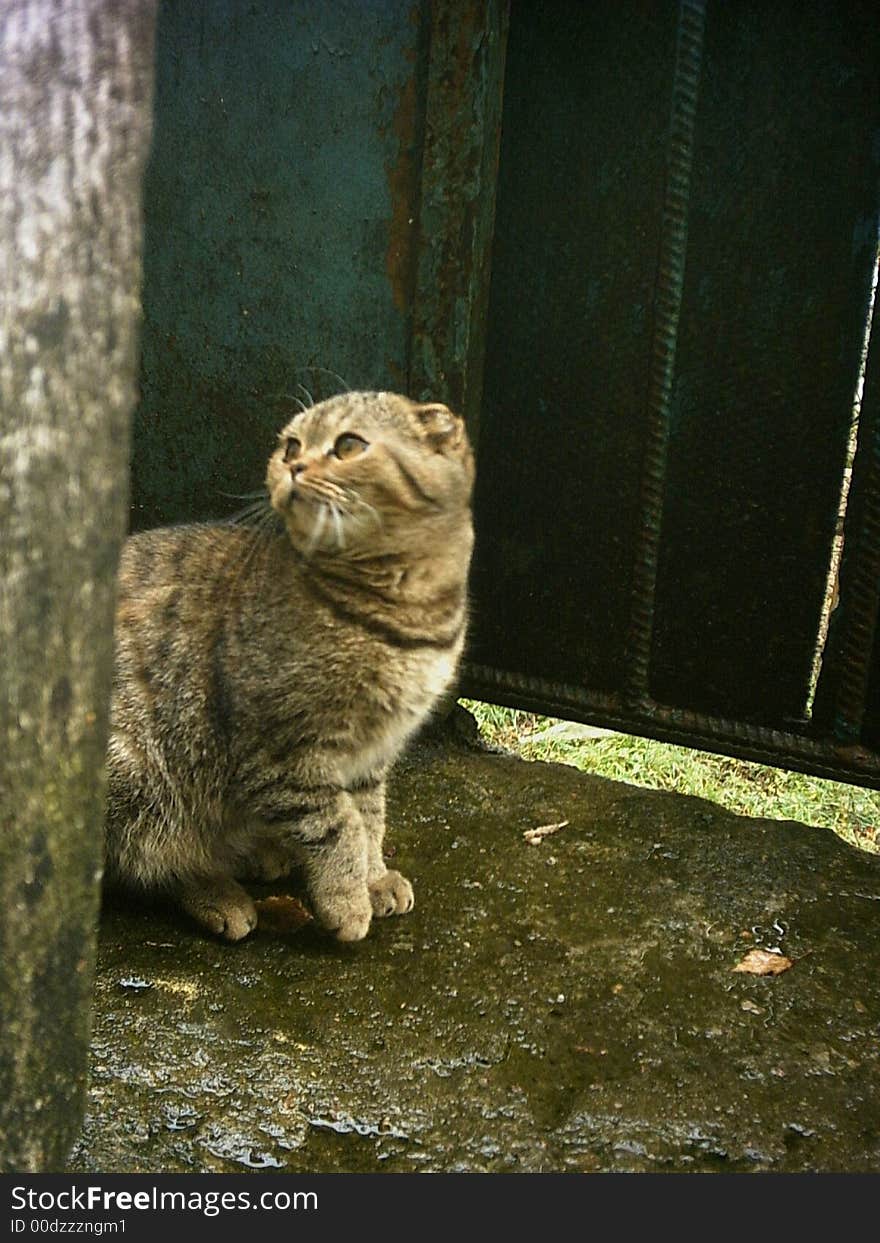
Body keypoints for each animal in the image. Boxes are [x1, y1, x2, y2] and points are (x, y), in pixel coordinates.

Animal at [103, 387, 474, 939]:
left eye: (348, 445)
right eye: (292, 445)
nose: (294, 465)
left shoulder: (370, 755)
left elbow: (370, 817)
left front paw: (374, 877)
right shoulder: (282, 753)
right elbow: (337, 825)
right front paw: (346, 899)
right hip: (136, 773)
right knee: (147, 860)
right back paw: (220, 894)